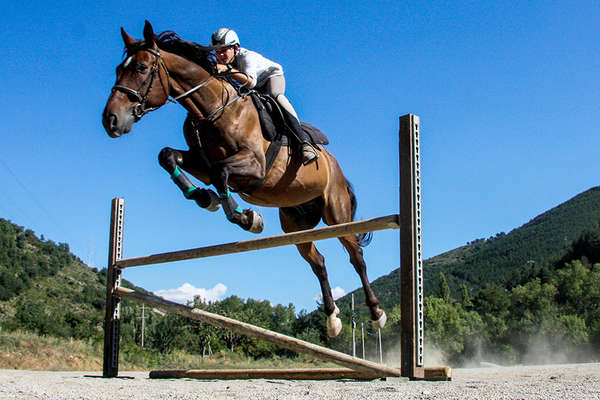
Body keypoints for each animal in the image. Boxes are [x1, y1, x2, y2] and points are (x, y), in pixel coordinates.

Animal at [101, 20, 386, 336]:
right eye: (118, 68)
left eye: (141, 68)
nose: (110, 120)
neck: (212, 108)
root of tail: (335, 166)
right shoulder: (202, 163)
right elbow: (169, 157)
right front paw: (206, 198)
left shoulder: (254, 167)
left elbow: (221, 173)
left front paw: (247, 218)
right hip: (295, 224)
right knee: (319, 262)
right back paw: (332, 319)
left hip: (336, 212)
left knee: (356, 257)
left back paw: (376, 314)